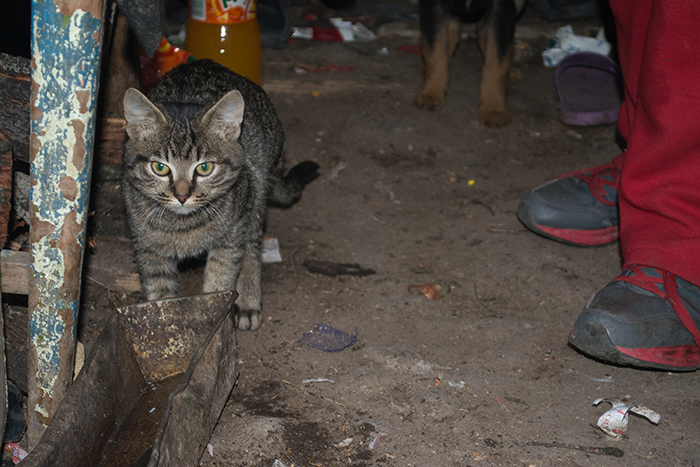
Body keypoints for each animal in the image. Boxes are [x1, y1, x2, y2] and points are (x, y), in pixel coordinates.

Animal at [122, 59, 318, 330]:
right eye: (159, 168)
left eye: (205, 168)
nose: (182, 195)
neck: (182, 226)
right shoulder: (147, 248)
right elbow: (158, 292)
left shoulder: (232, 234)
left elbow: (220, 280)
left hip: (255, 197)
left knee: (252, 249)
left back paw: (248, 301)